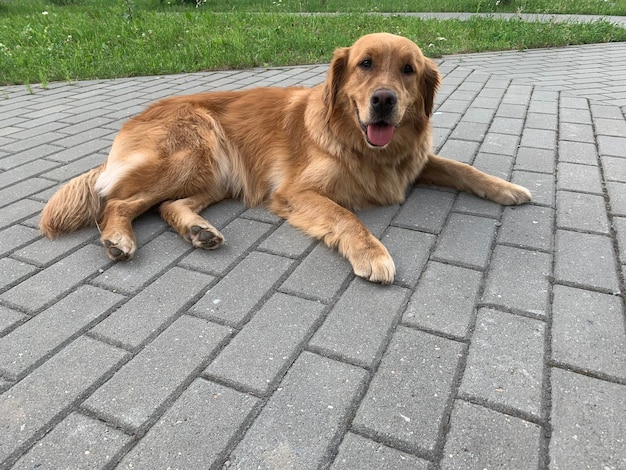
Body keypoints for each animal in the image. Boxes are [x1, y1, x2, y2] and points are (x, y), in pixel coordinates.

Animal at [39, 34, 528, 282]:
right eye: (366, 64)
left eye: (408, 70)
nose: (384, 101)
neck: (363, 146)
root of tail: (137, 115)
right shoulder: (297, 191)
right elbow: (347, 216)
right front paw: (371, 253)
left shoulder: (416, 163)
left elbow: (463, 168)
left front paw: (506, 187)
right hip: (193, 153)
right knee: (117, 202)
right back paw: (118, 238)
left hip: (214, 174)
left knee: (167, 205)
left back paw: (200, 231)